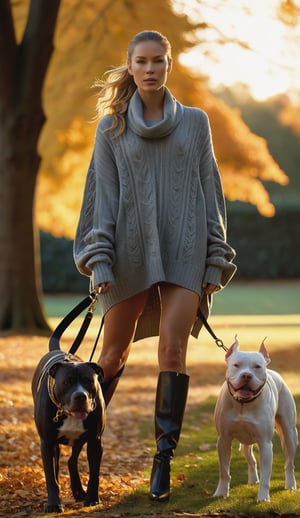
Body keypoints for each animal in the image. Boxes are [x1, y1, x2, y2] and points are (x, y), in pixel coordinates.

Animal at [31, 352, 105, 512]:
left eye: (88, 381)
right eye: (67, 382)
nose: (80, 396)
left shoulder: (95, 441)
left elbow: (94, 474)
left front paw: (92, 499)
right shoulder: (47, 443)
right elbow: (51, 476)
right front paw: (53, 504)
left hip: (79, 441)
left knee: (72, 460)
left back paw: (78, 491)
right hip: (55, 446)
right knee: (58, 468)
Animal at [213, 338, 298, 504]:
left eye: (257, 367)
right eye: (236, 365)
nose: (246, 375)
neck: (243, 404)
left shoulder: (265, 444)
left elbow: (266, 476)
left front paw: (263, 497)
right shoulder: (223, 441)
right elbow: (224, 471)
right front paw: (221, 492)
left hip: (290, 435)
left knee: (289, 463)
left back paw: (290, 485)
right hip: (245, 442)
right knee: (249, 457)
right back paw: (253, 479)